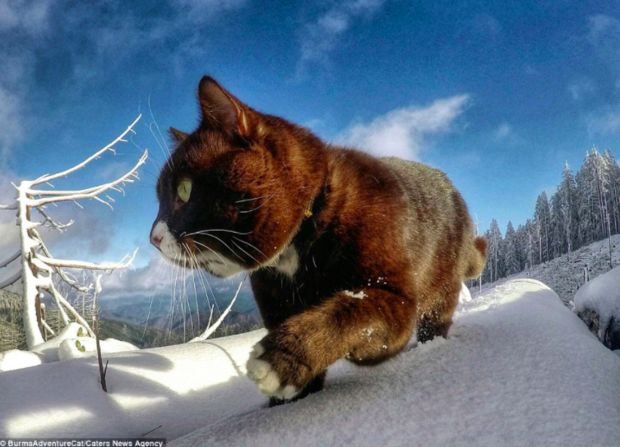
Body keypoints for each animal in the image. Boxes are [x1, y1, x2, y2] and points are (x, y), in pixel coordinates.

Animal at [151, 76, 490, 406]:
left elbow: (352, 310)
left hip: (440, 285)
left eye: (183, 190)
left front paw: (281, 360)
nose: (153, 236)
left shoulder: (397, 299)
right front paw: (290, 396)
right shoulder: (274, 303)